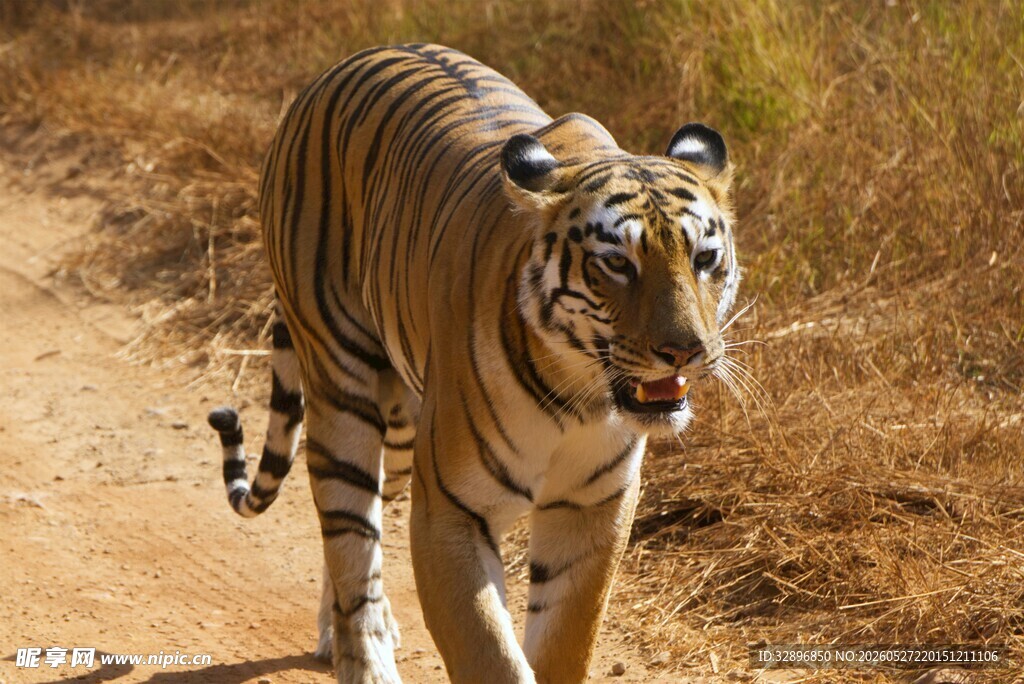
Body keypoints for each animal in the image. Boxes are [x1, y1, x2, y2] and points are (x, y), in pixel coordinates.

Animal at [207, 43, 738, 684]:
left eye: (704, 258)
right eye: (617, 264)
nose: (685, 350)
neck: (579, 396)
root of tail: (336, 69)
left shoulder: (592, 507)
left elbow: (565, 642)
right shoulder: (451, 511)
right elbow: (489, 653)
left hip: (403, 430)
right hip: (342, 389)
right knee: (350, 540)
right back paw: (364, 655)